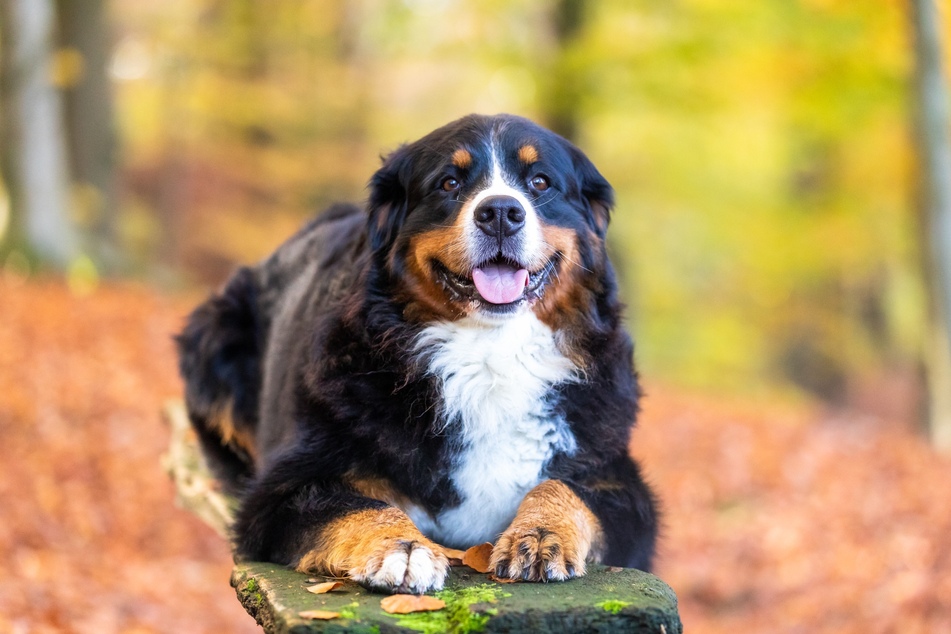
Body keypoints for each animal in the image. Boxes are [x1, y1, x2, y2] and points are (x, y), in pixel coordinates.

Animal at [175, 113, 660, 592]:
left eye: (540, 182)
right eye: (448, 182)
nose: (501, 213)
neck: (490, 354)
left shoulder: (618, 482)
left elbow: (566, 490)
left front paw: (540, 534)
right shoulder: (282, 490)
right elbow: (359, 505)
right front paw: (402, 548)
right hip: (216, 334)